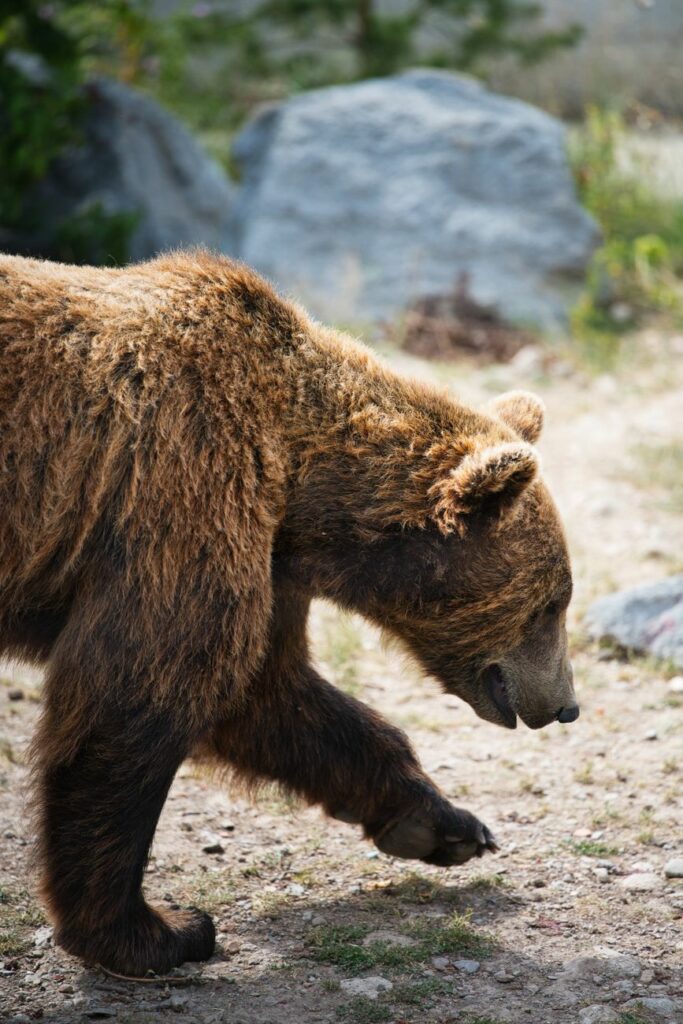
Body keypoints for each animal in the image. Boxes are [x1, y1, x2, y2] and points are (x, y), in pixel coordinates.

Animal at [0, 250, 578, 976]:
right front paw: (159, 930)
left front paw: (444, 823)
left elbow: (271, 694)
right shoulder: (182, 490)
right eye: (551, 603)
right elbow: (136, 697)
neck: (301, 491)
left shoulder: (266, 560)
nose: (566, 705)